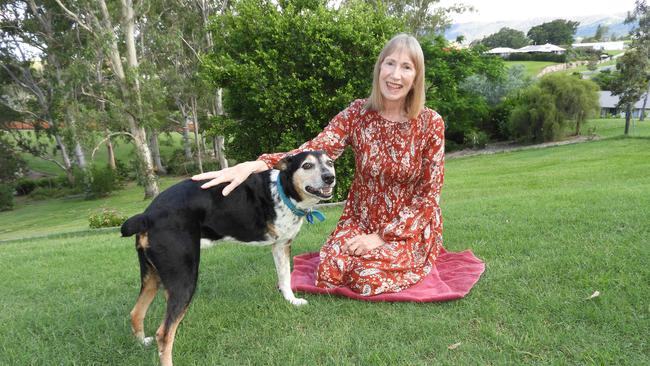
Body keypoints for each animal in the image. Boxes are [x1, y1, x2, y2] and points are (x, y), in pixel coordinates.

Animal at [120, 151, 334, 366]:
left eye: (330, 163)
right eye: (307, 165)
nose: (329, 177)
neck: (283, 191)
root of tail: (147, 216)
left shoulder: (280, 246)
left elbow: (285, 279)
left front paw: (291, 301)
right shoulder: (283, 244)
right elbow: (286, 277)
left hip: (152, 276)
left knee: (136, 313)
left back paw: (142, 342)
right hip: (184, 280)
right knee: (164, 334)